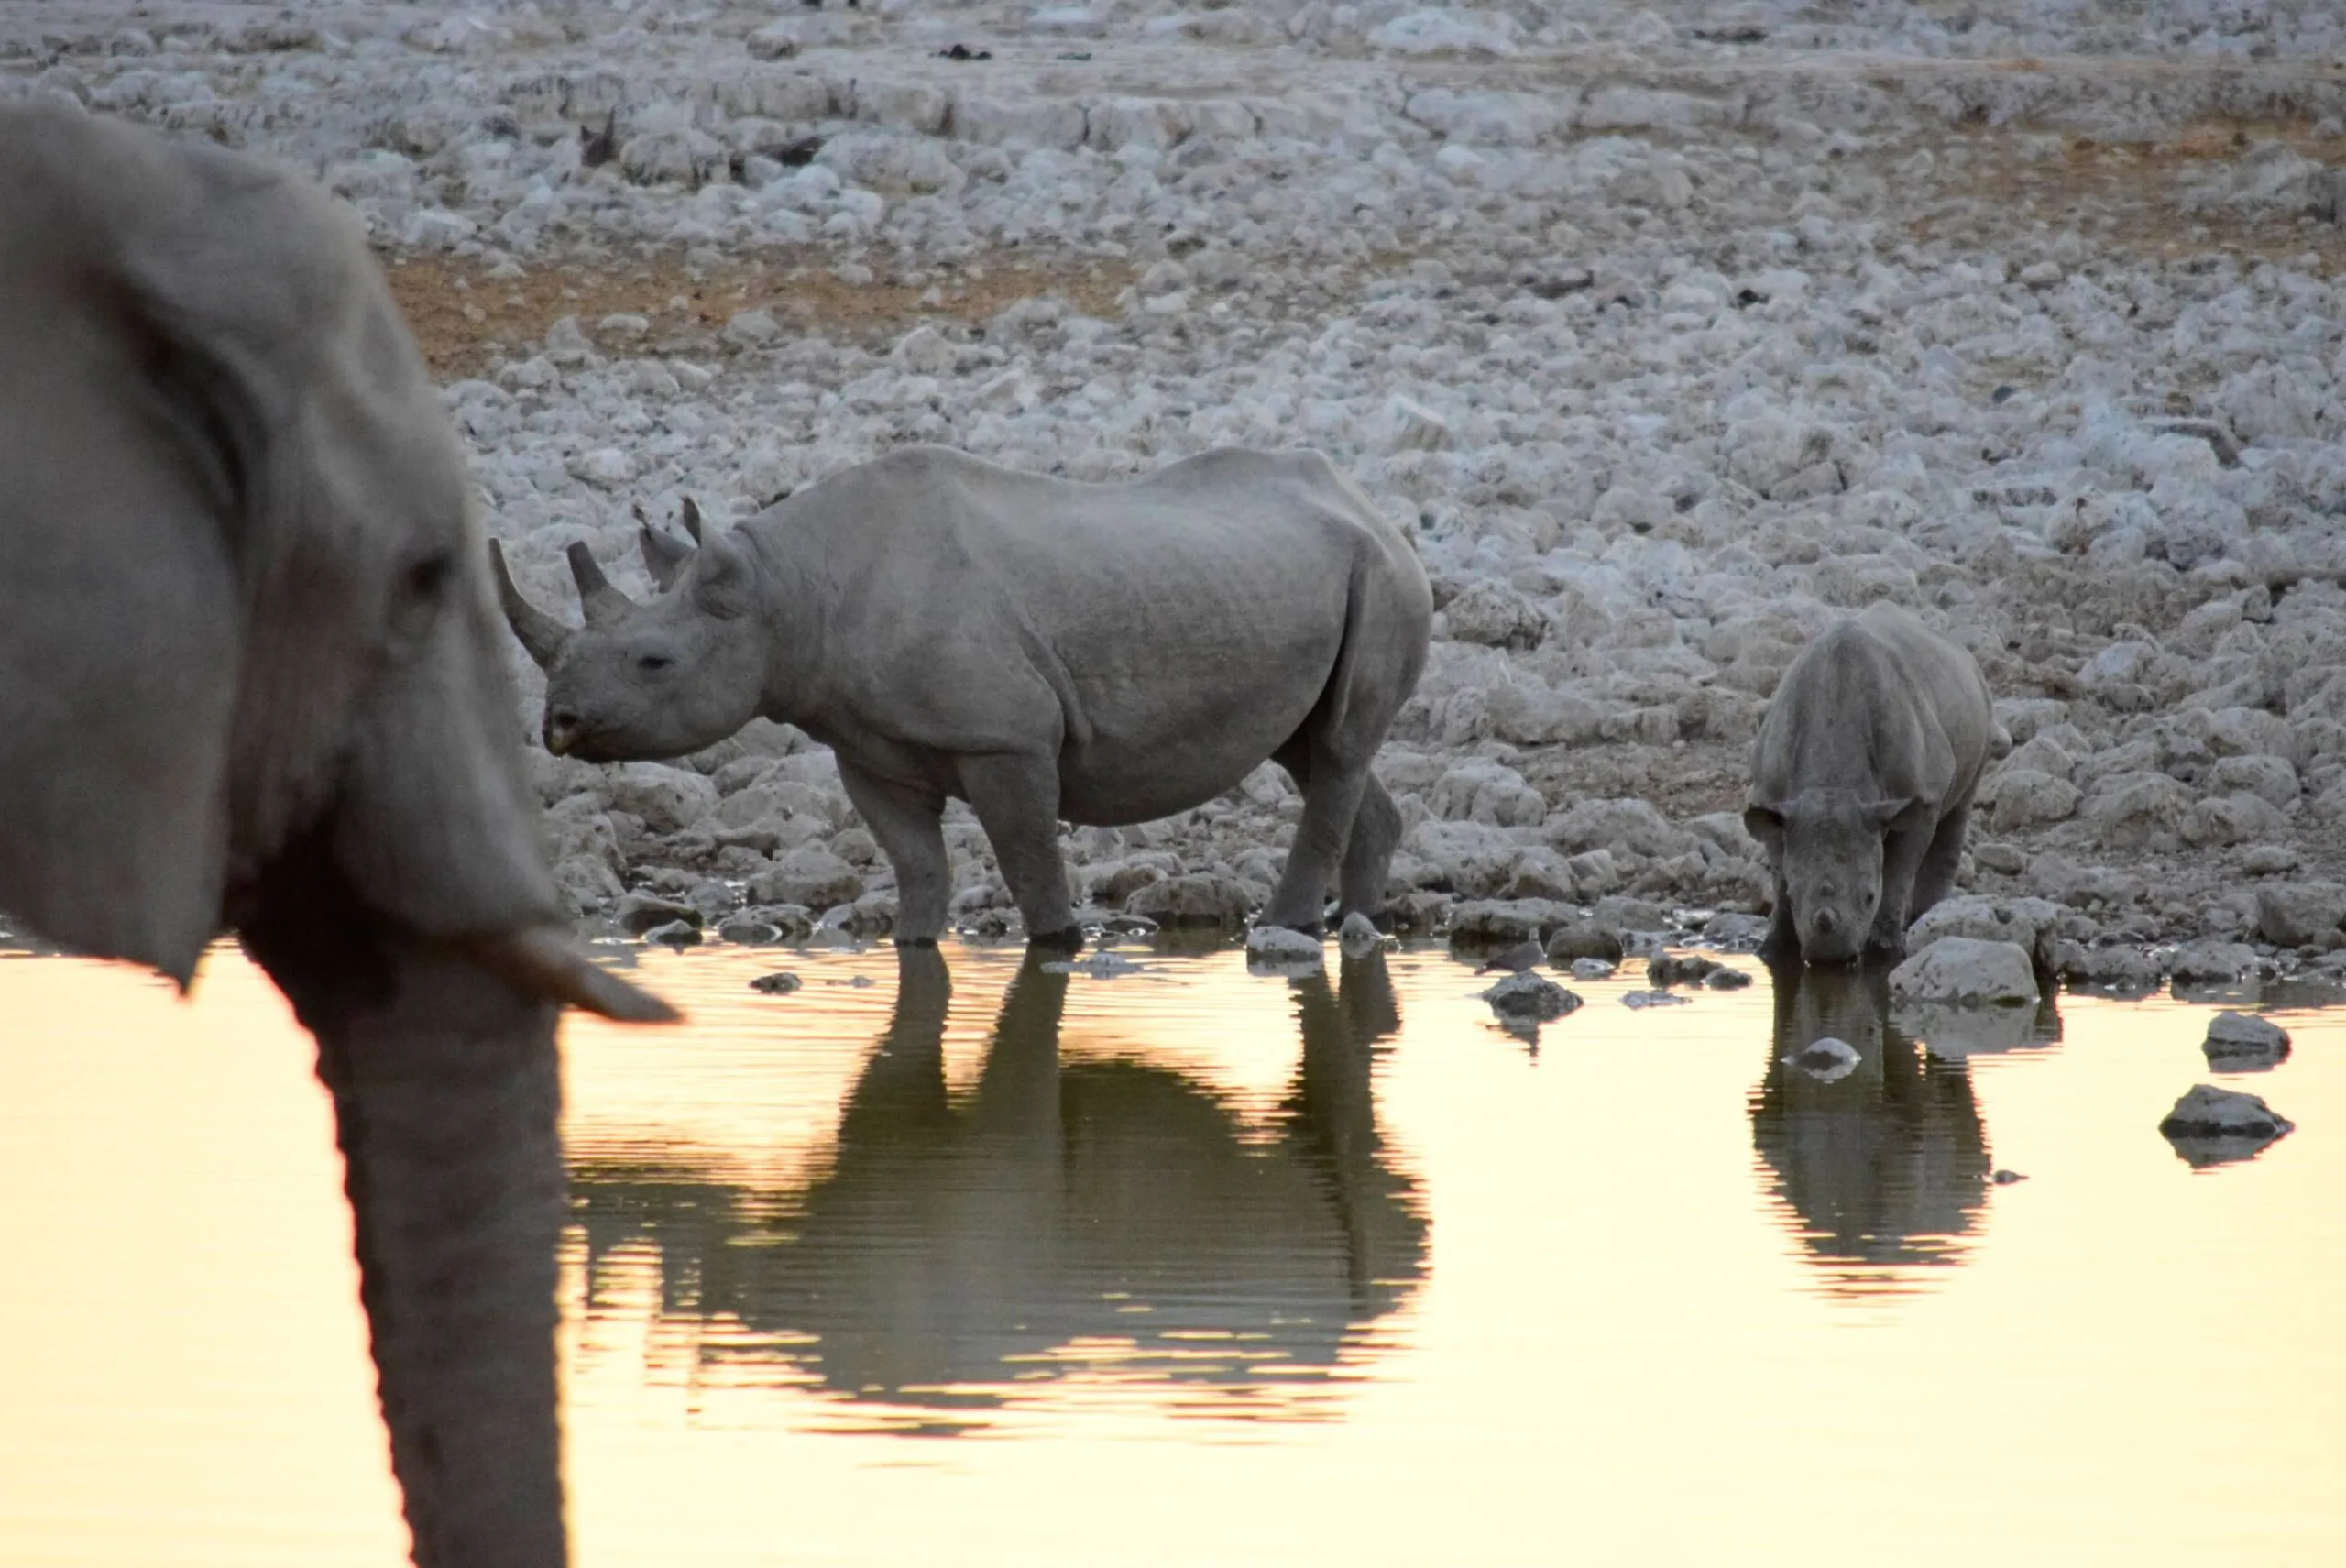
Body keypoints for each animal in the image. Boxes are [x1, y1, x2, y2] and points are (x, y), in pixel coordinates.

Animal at [1745, 603, 2003, 967]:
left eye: (1869, 897)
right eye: (1796, 899)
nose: (1830, 958)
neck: (1834, 786)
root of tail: (1961, 651)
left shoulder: (1920, 800)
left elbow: (1897, 873)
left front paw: (1884, 953)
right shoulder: (1773, 800)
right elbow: (1780, 873)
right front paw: (1775, 950)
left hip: (1981, 708)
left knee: (1960, 807)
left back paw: (1927, 918)